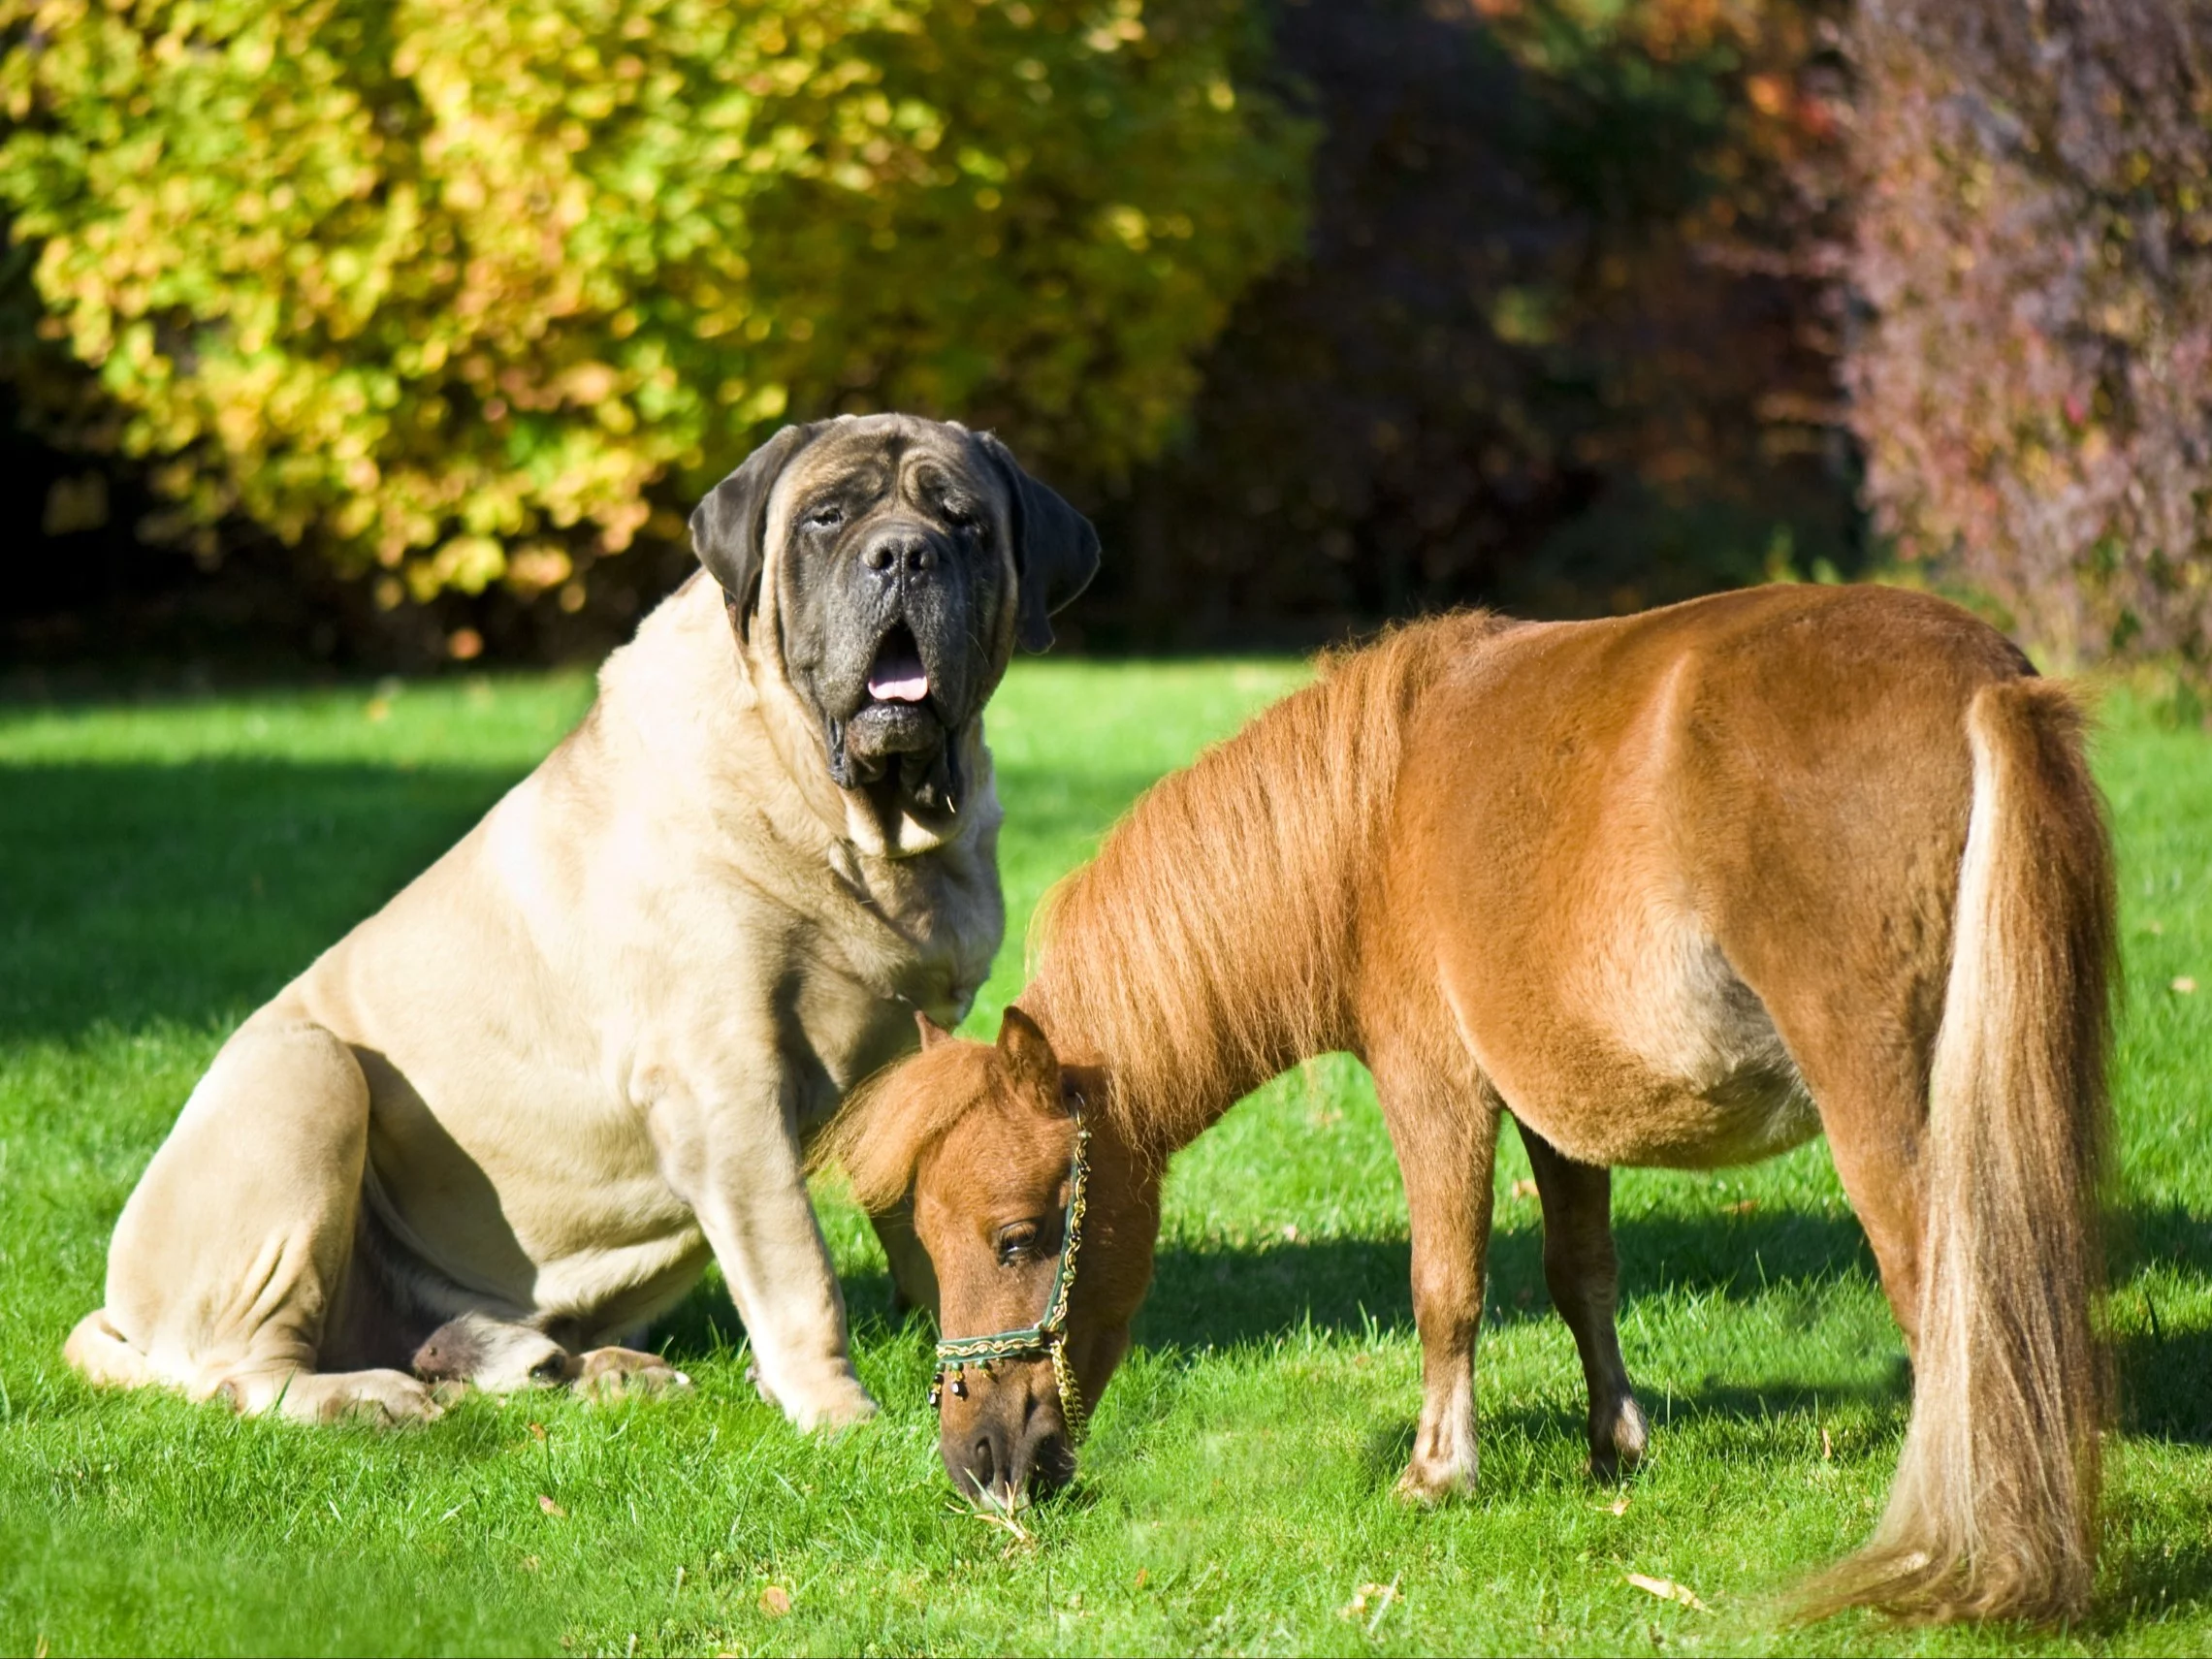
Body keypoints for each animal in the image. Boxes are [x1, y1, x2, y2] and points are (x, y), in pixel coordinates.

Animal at [64, 413, 1101, 1433]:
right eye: (827, 517)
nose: (901, 553)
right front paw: (839, 1411)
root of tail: (117, 1313)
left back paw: (585, 1370)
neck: (851, 820)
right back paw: (364, 1395)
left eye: (962, 521)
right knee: (240, 1372)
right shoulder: (722, 1082)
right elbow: (798, 1266)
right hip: (300, 1071)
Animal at [822, 584, 2114, 1628]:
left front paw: (1438, 1472)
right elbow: (1580, 1272)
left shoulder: (1433, 1087)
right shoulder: (1554, 1108)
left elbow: (1444, 1287)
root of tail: (1984, 679)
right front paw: (1614, 1448)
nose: (975, 1460)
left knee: (1940, 1298)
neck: (1369, 815)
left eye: (1018, 1239)